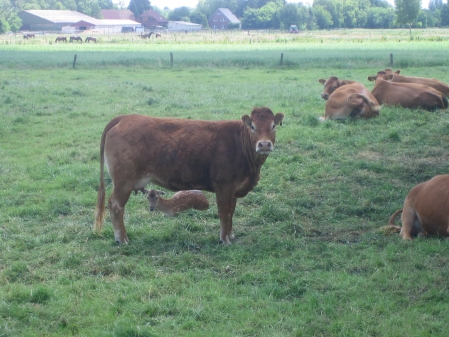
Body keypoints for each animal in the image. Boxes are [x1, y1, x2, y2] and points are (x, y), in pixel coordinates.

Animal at [94, 107, 284, 244]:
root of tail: (124, 118)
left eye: (273, 126)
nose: (264, 144)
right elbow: (224, 212)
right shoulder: (224, 186)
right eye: (253, 127)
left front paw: (230, 235)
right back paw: (122, 239)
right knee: (116, 206)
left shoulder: (234, 189)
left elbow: (231, 212)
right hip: (123, 182)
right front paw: (224, 239)